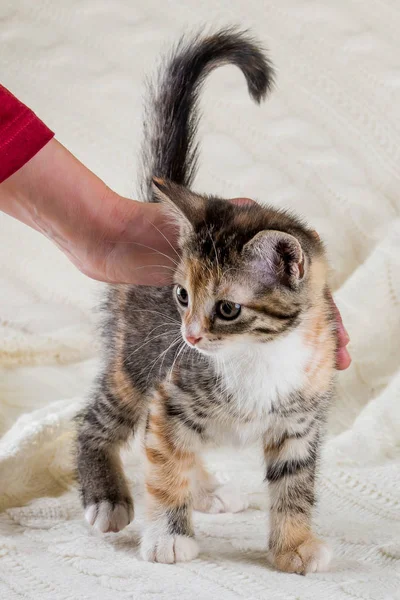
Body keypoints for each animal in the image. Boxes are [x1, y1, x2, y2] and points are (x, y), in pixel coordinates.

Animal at [76, 29, 336, 576]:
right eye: (182, 296)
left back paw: (207, 489)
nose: (190, 334)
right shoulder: (171, 392)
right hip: (135, 361)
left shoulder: (301, 419)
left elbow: (295, 483)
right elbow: (163, 467)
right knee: (102, 421)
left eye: (227, 309)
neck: (259, 356)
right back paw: (107, 495)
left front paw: (295, 545)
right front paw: (168, 537)